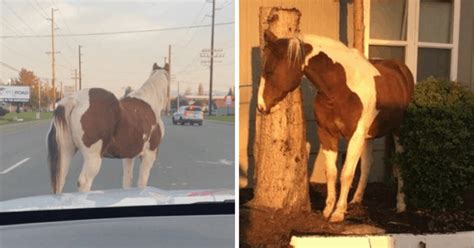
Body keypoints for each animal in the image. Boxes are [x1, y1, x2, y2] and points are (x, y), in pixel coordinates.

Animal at [47, 62, 169, 194]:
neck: (150, 102)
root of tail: (75, 100)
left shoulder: (128, 157)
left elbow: (127, 181)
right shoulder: (149, 155)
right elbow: (142, 183)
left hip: (66, 152)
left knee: (60, 181)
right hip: (92, 158)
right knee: (84, 182)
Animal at [258, 30, 412, 222]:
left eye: (270, 71)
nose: (261, 106)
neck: (340, 89)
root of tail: (402, 69)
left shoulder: (355, 136)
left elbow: (346, 173)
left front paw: (338, 212)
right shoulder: (326, 133)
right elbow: (331, 172)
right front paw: (328, 209)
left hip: (398, 131)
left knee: (400, 164)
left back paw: (401, 205)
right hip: (368, 137)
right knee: (367, 163)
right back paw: (356, 200)